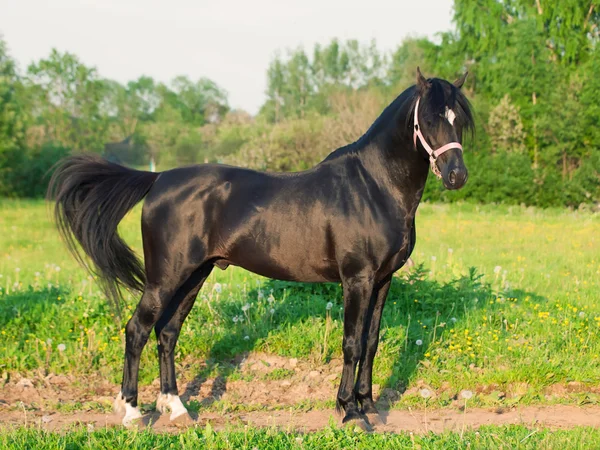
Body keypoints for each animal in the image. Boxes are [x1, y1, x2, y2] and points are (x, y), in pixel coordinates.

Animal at [48, 67, 474, 428]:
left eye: (460, 120)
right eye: (430, 118)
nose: (457, 175)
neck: (372, 186)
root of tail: (159, 179)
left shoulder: (383, 280)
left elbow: (371, 342)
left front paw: (369, 406)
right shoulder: (358, 279)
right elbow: (352, 343)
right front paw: (350, 412)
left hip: (195, 274)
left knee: (167, 332)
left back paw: (177, 408)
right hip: (165, 278)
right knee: (137, 329)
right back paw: (132, 412)